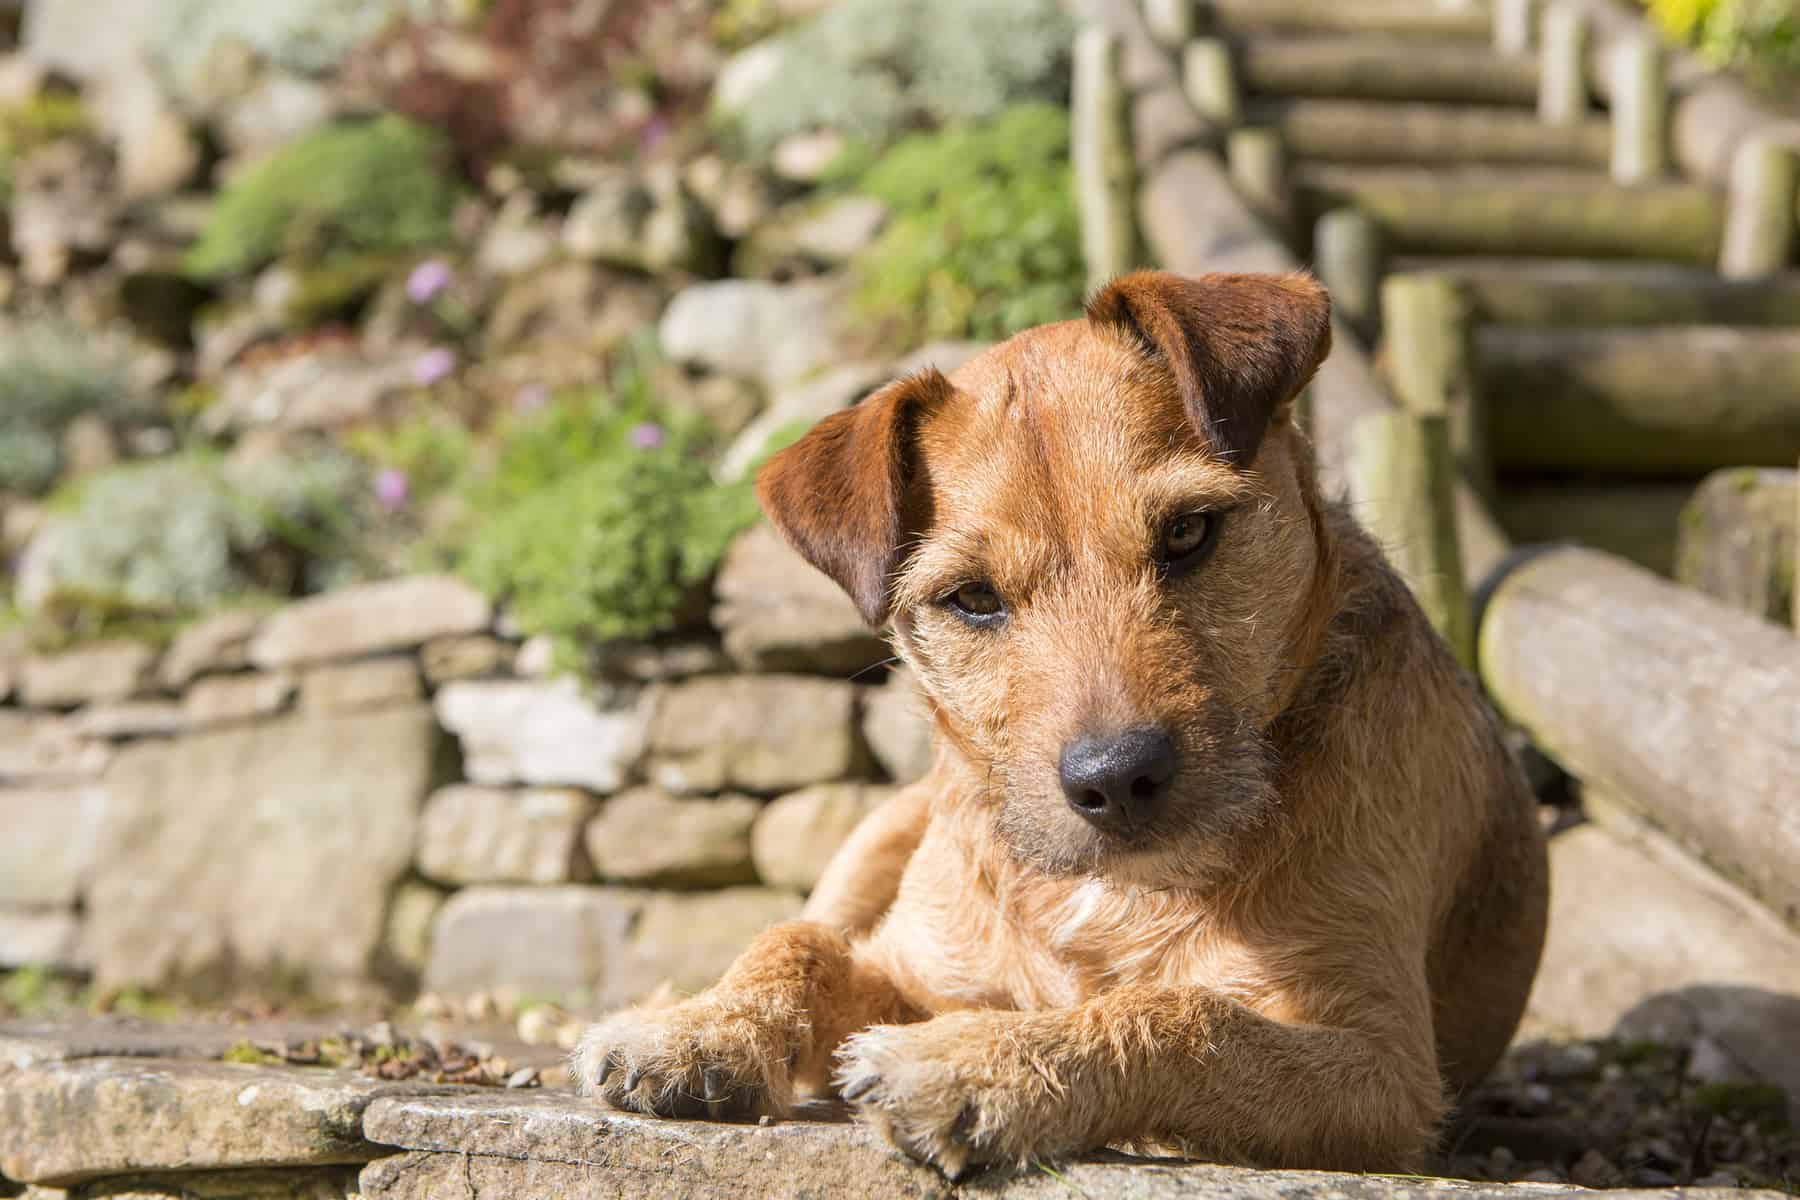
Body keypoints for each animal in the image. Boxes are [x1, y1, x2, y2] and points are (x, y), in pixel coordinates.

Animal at [572, 268, 1548, 1180]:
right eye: (972, 598)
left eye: (1189, 532)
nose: (1116, 777)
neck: (1112, 892)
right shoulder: (909, 970)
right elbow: (801, 945)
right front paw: (700, 1031)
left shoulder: (1381, 1069)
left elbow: (1188, 1015)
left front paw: (976, 1062)